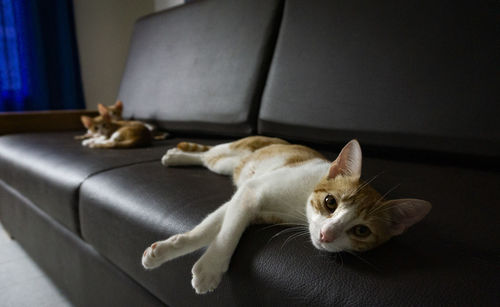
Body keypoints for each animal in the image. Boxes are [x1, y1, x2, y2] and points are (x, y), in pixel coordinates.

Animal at [143, 137, 432, 294]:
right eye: (330, 202)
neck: (299, 203)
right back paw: (177, 155)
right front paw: (209, 269)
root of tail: (280, 140)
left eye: (362, 231)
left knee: (208, 160)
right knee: (209, 153)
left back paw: (178, 157)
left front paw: (170, 250)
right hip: (234, 152)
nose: (326, 235)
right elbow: (226, 232)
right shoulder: (252, 192)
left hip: (227, 165)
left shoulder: (250, 205)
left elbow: (215, 225)